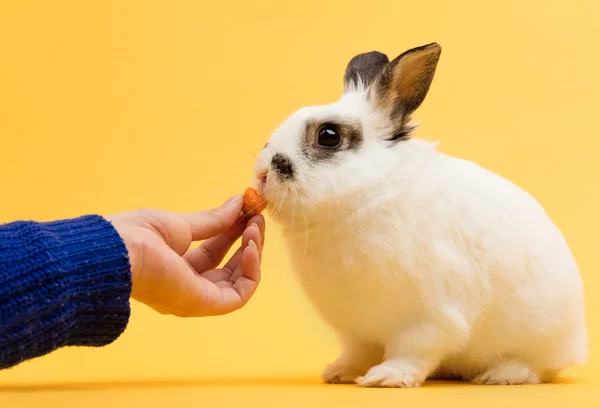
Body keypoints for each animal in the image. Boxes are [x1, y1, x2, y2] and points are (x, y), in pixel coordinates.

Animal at [251, 43, 588, 388]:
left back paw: (499, 375)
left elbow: (413, 351)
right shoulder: (356, 330)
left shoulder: (430, 318)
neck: (371, 194)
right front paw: (339, 372)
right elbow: (358, 352)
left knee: (534, 366)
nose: (262, 175)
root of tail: (577, 342)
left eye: (329, 135)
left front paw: (387, 377)